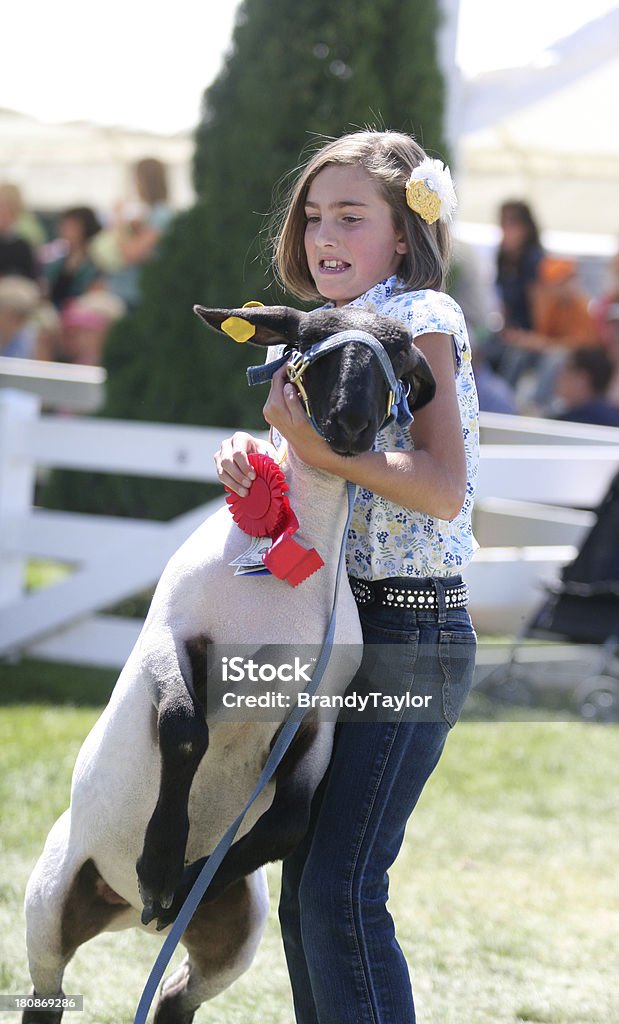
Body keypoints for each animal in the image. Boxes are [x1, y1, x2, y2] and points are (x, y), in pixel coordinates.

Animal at [21, 301, 432, 1024]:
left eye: (405, 360)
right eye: (307, 340)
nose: (350, 423)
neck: (283, 575)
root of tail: (114, 912)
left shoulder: (316, 712)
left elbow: (290, 822)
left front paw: (181, 886)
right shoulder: (171, 636)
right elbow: (187, 731)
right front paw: (159, 869)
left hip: (237, 933)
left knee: (175, 999)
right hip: (46, 903)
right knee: (46, 993)